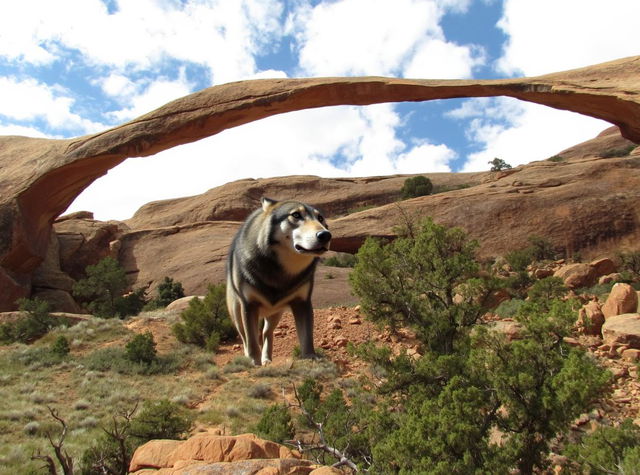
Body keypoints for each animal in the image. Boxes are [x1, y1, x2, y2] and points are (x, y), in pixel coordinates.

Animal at [225, 197, 332, 368]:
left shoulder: (302, 302)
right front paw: (254, 362)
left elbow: (306, 337)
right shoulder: (249, 304)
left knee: (266, 333)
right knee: (245, 337)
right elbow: (252, 341)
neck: (281, 272)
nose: (326, 235)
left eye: (320, 218)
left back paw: (267, 359)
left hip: (275, 313)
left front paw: (310, 357)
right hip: (236, 313)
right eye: (296, 215)